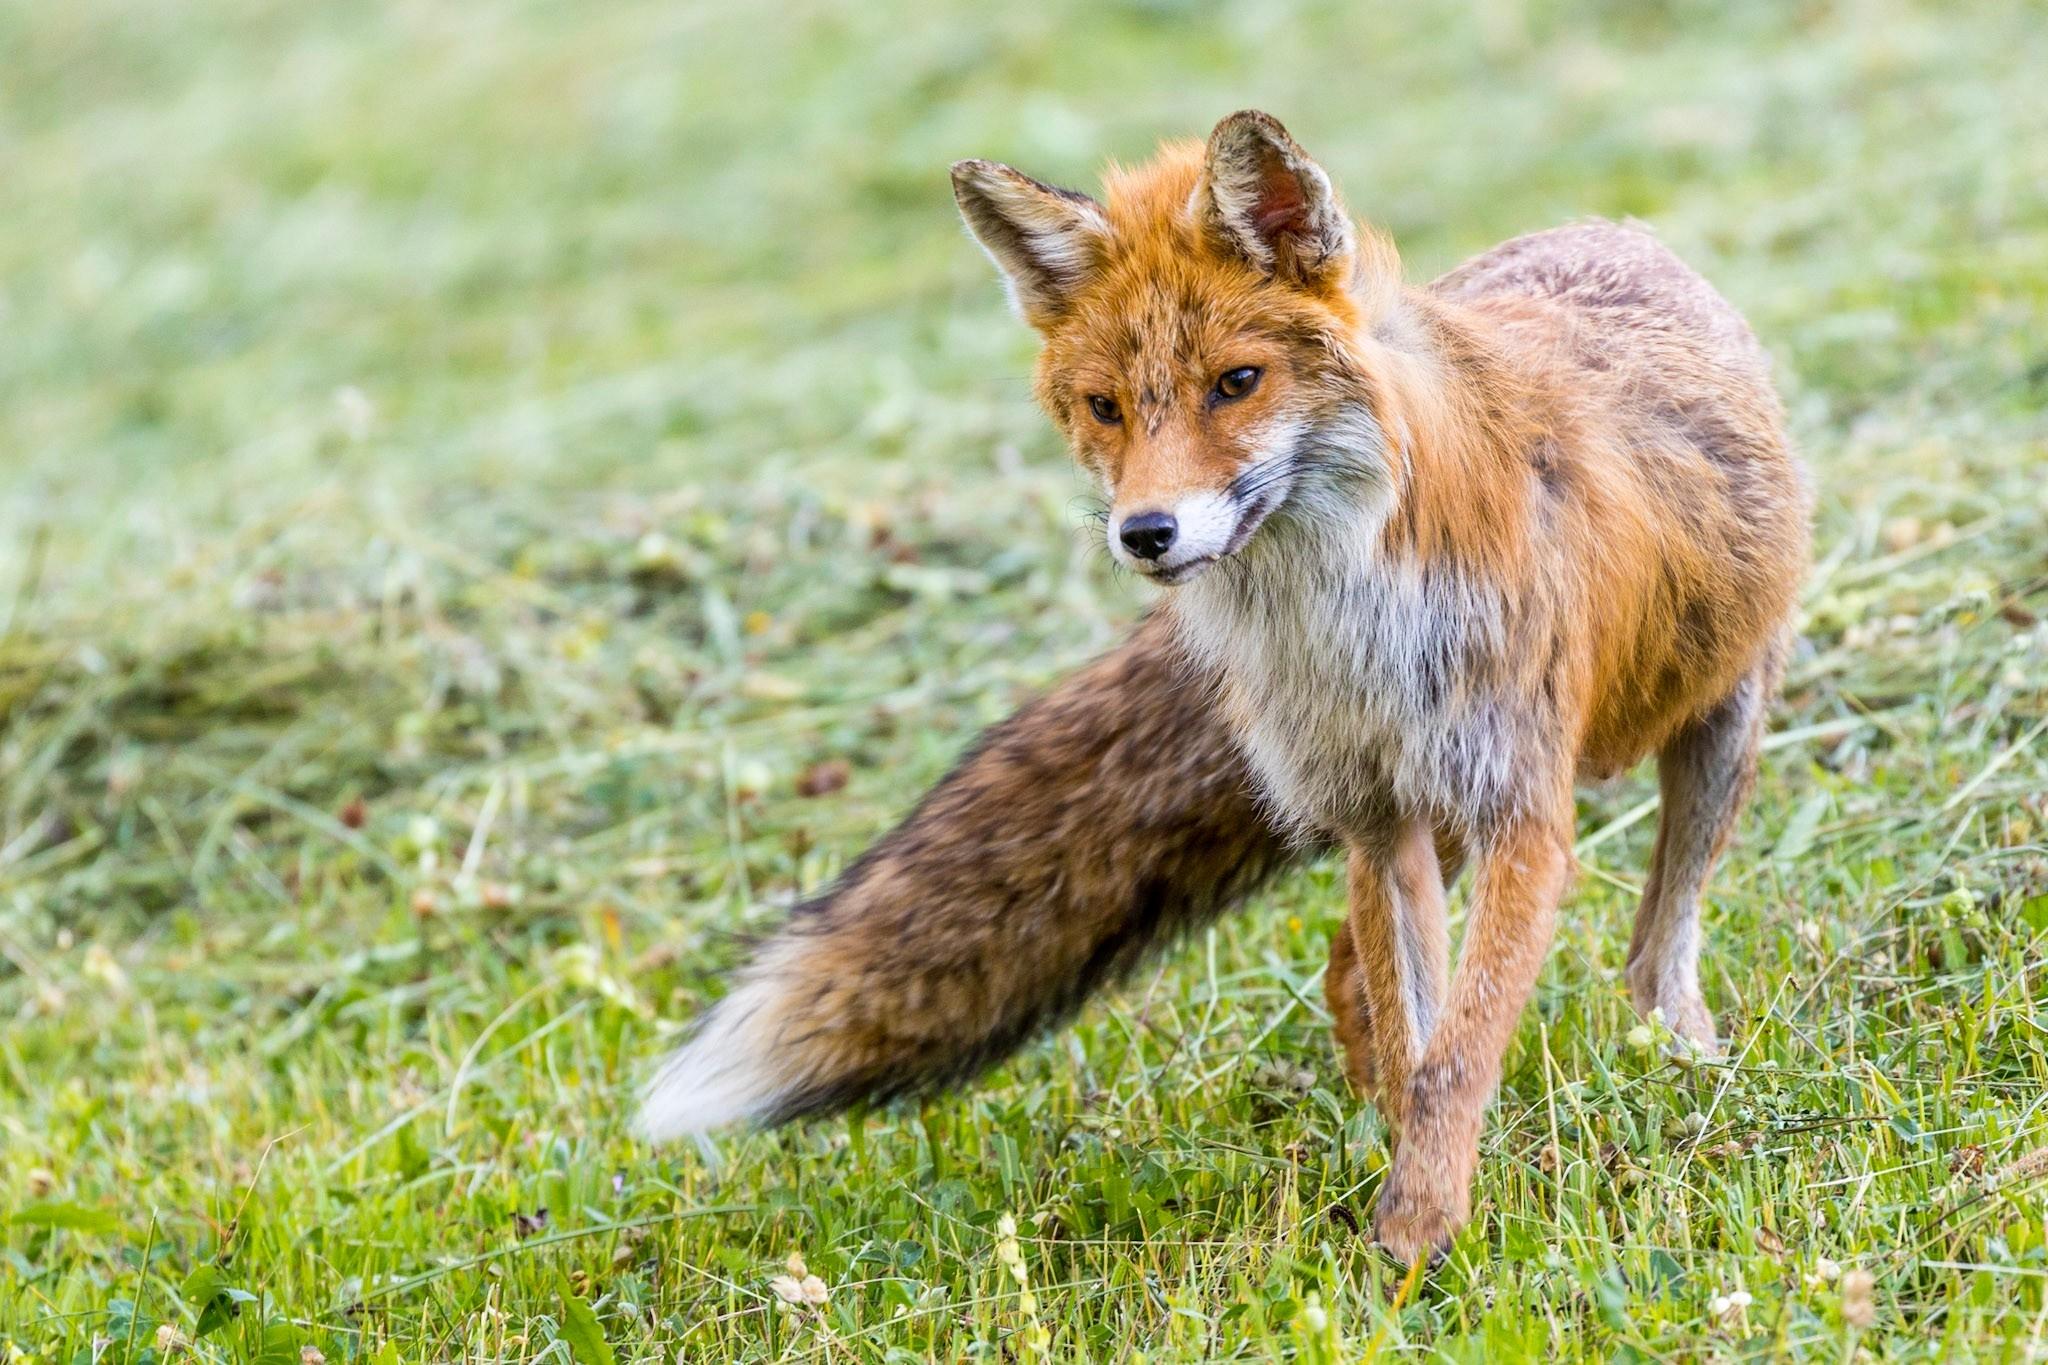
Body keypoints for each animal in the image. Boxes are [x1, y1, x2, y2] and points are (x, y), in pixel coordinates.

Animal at [639, 111, 1809, 1265]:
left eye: (1235, 383)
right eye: (1105, 407)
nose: (1144, 533)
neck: (1338, 626)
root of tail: (1614, 231)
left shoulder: (1521, 811)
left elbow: (1456, 1053)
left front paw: (1420, 1239)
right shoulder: (1374, 815)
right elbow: (1415, 1037)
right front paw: (1404, 1236)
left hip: (1716, 731)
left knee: (1653, 949)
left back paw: (1684, 1064)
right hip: (1426, 821)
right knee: (1353, 979)